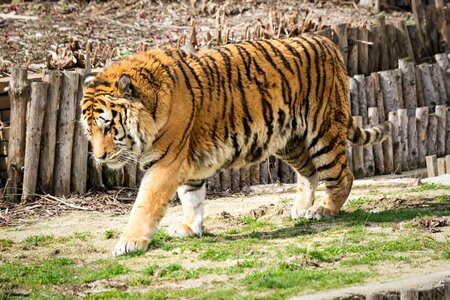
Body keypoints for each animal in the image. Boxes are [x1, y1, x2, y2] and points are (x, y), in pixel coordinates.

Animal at [81, 34, 390, 255]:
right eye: (90, 130)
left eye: (108, 126)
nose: (100, 157)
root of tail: (329, 43)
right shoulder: (186, 166)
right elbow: (192, 198)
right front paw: (190, 228)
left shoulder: (166, 164)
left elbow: (145, 205)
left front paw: (128, 243)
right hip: (288, 140)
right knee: (309, 173)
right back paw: (301, 209)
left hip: (323, 131)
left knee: (343, 175)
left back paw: (323, 210)